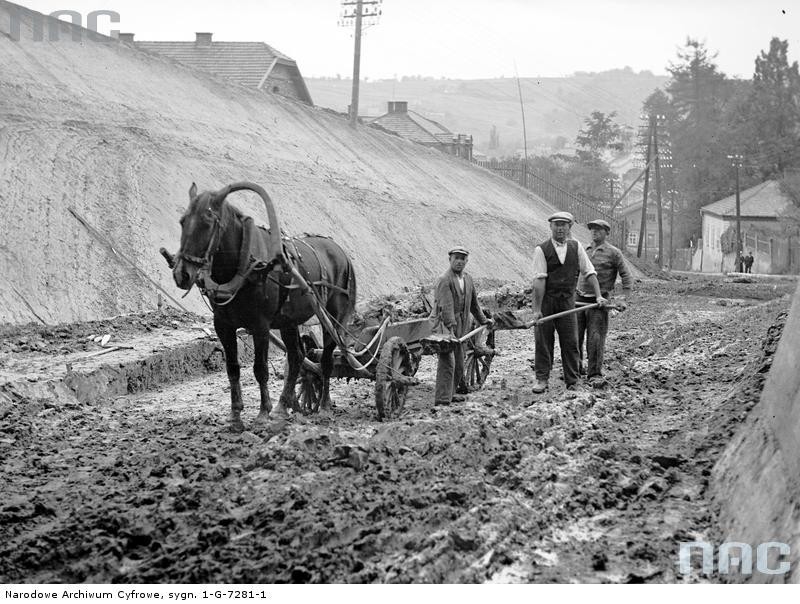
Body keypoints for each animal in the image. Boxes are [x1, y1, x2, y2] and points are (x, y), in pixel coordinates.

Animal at [166, 182, 356, 432]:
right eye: (182, 221)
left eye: (207, 222)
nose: (182, 274)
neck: (246, 264)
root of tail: (340, 251)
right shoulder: (223, 325)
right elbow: (233, 368)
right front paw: (235, 416)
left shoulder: (260, 325)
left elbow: (260, 368)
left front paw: (263, 413)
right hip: (288, 321)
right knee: (296, 357)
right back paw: (283, 407)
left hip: (332, 317)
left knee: (326, 360)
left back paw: (323, 406)